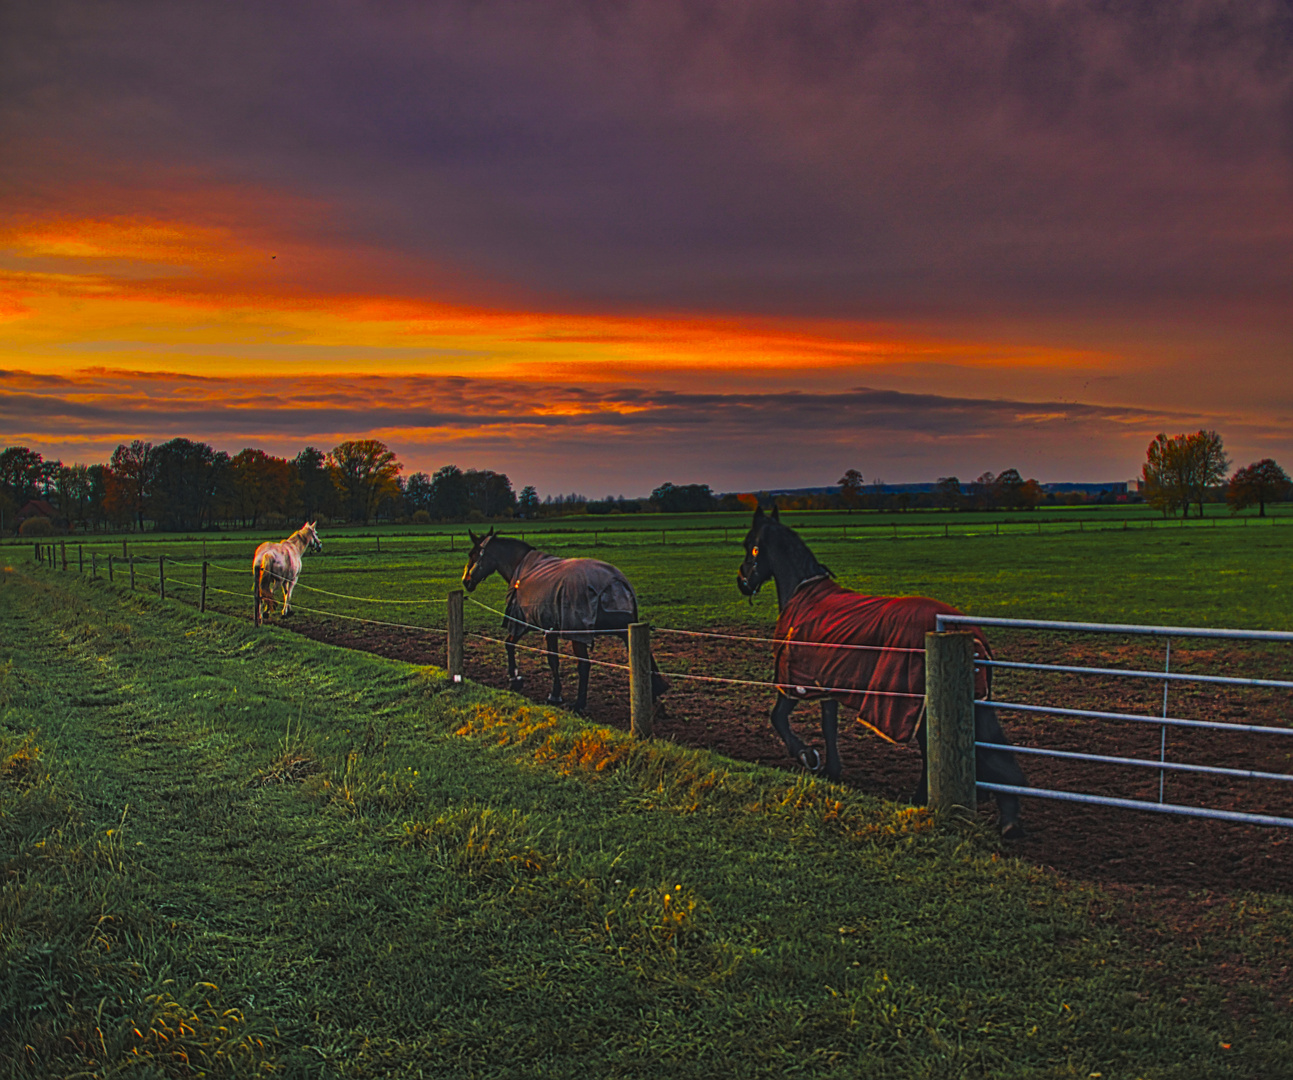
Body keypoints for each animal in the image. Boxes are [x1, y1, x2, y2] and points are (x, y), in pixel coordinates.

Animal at [465, 527, 667, 713]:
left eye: (473, 555)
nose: (465, 581)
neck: (522, 567)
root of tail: (614, 583)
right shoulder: (549, 629)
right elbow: (544, 656)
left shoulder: (524, 623)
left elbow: (523, 649)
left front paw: (527, 684)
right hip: (625, 629)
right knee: (644, 656)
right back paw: (655, 693)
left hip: (580, 635)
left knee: (584, 665)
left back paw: (579, 704)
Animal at [744, 507, 1024, 838]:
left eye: (750, 546)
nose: (742, 581)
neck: (806, 595)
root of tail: (967, 632)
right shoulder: (827, 684)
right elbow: (828, 726)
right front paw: (831, 771)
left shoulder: (796, 682)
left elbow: (778, 718)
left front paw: (807, 756)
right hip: (969, 706)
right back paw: (1005, 817)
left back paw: (927, 802)